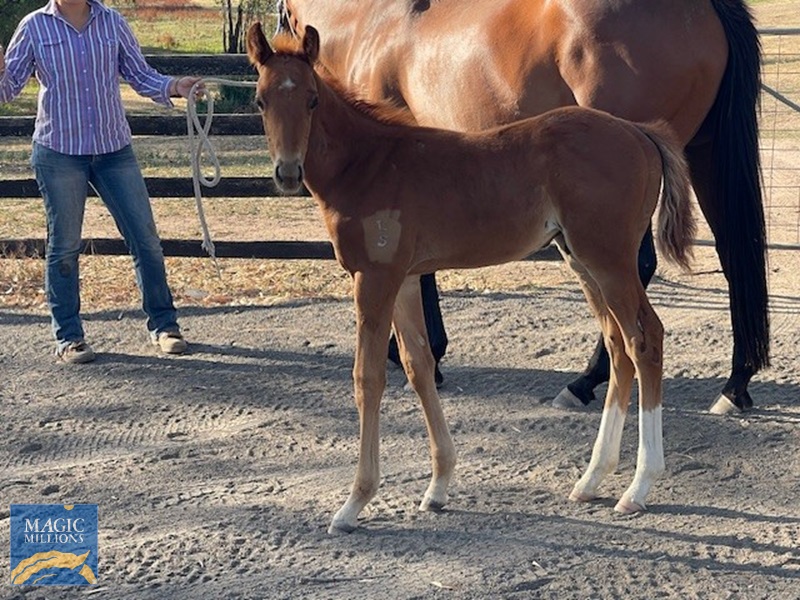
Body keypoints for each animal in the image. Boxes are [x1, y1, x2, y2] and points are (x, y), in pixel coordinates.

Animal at [246, 22, 696, 533]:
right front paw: (438, 486)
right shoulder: (404, 279)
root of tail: (639, 132)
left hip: (611, 260)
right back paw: (592, 478)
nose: (287, 172)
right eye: (260, 100)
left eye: (311, 99)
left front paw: (353, 504)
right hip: (582, 261)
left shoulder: (374, 277)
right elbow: (419, 366)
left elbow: (368, 377)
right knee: (620, 346)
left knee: (645, 340)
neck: (369, 163)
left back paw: (638, 487)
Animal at [275, 0, 768, 416]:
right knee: (735, 254)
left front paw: (417, 354)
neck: (370, 22)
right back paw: (735, 386)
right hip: (704, 155)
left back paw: (584, 383)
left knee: (640, 273)